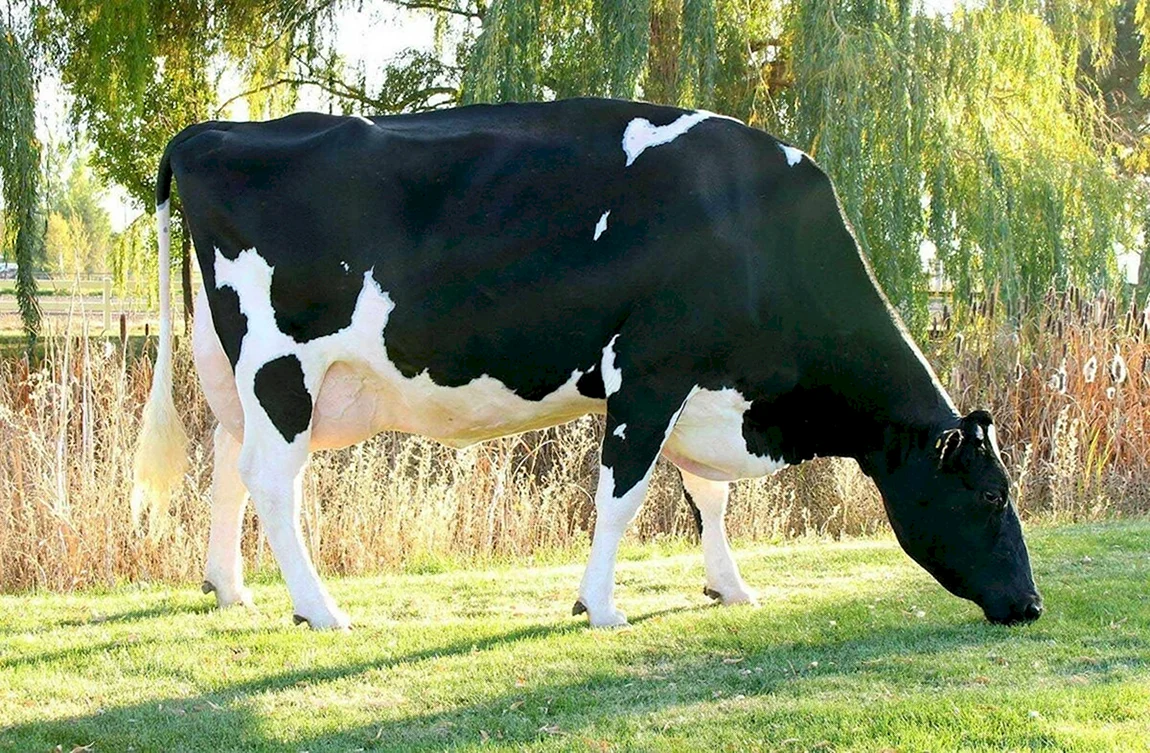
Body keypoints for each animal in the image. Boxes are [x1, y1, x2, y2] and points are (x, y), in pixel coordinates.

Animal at [132, 97, 1042, 631]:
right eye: (991, 496)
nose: (1031, 604)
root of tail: (209, 130)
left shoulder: (701, 386)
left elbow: (707, 496)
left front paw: (729, 586)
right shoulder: (650, 368)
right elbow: (622, 494)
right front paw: (599, 605)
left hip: (236, 372)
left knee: (225, 463)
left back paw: (230, 588)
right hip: (282, 365)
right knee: (270, 477)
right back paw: (320, 609)